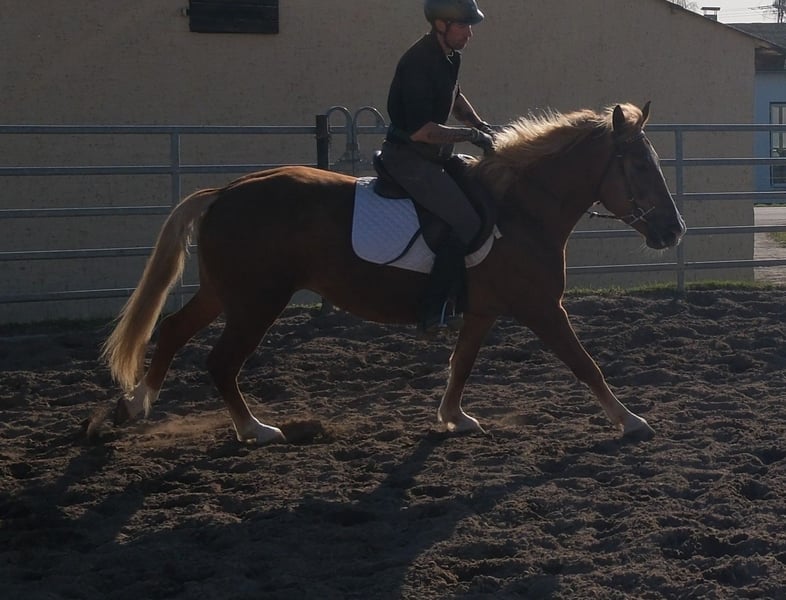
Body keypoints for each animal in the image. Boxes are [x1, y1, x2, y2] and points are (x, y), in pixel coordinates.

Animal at [102, 101, 686, 445]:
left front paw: (453, 417)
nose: (673, 229)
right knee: (221, 362)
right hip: (255, 302)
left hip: (226, 294)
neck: (521, 208)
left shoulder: (484, 312)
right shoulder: (542, 309)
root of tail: (225, 192)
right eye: (639, 165)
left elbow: (460, 365)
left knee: (173, 331)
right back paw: (255, 429)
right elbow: (586, 365)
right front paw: (630, 420)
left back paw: (134, 405)